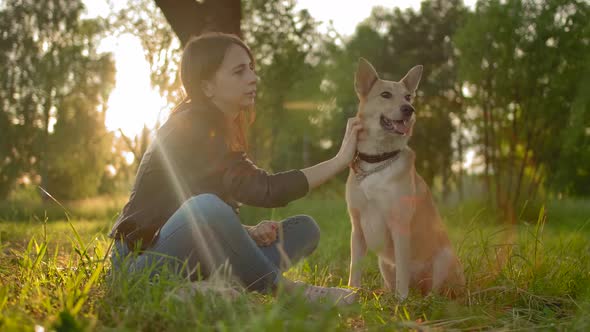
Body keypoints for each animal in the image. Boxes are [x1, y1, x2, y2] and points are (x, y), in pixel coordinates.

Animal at [346, 58, 468, 300]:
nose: (409, 109)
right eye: (385, 94)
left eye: (408, 97)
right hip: (384, 263)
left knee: (437, 290)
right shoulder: (357, 229)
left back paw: (423, 300)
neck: (378, 161)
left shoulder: (400, 226)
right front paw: (351, 295)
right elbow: (355, 268)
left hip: (444, 258)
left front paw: (401, 301)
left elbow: (403, 269)